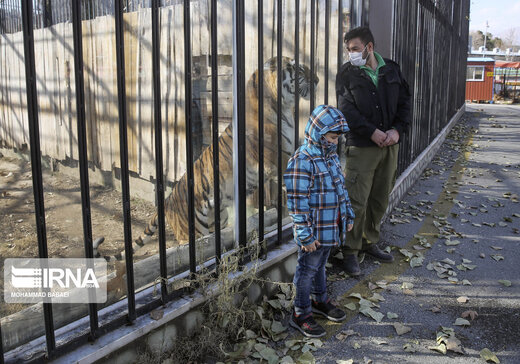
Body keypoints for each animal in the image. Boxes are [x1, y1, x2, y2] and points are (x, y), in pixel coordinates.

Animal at [94, 57, 316, 260]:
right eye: (299, 69)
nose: (318, 79)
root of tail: (167, 200)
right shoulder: (278, 159)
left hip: (219, 219)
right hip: (192, 231)